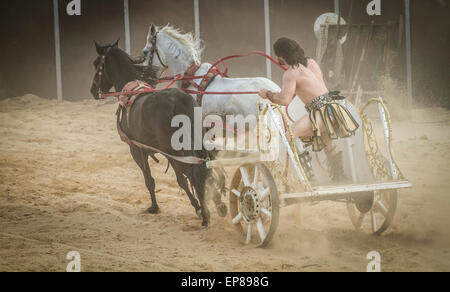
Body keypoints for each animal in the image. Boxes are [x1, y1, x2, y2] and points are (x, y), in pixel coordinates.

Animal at [89, 41, 223, 227]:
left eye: (96, 64)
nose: (93, 90)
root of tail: (179, 101)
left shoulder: (137, 150)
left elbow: (150, 180)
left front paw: (155, 207)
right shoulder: (162, 152)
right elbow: (180, 179)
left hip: (173, 149)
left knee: (193, 172)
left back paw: (205, 213)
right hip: (192, 144)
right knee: (205, 167)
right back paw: (218, 204)